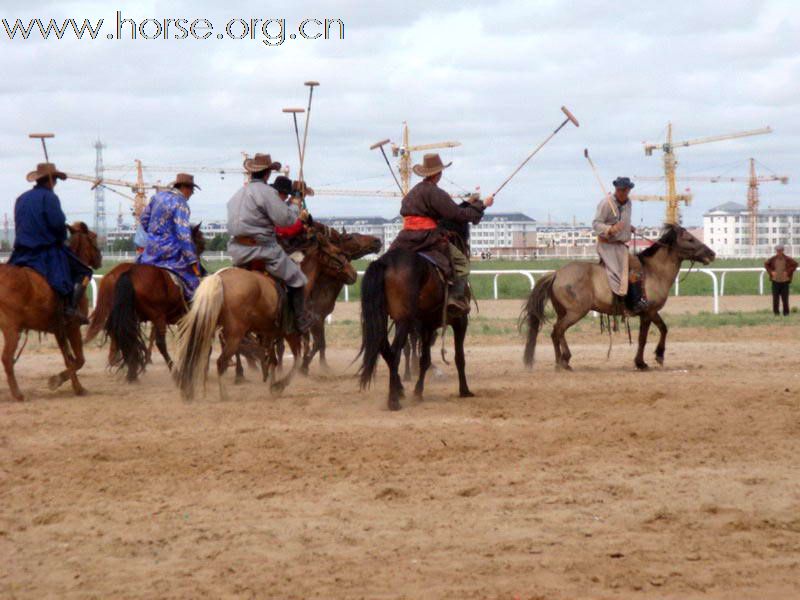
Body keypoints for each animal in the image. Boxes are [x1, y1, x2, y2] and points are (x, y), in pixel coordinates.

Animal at [0, 223, 103, 400]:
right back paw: (18, 395)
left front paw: (76, 387)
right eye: (93, 237)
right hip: (11, 329)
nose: (100, 259)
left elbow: (69, 359)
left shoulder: (58, 330)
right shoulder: (72, 327)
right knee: (7, 358)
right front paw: (57, 380)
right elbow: (79, 360)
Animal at [83, 223, 203, 382]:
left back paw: (128, 369)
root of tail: (127, 274)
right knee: (159, 343)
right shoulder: (180, 316)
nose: (202, 271)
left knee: (122, 334)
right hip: (156, 315)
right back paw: (173, 371)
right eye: (200, 246)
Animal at [173, 234, 354, 404]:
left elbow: (273, 360)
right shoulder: (291, 333)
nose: (353, 274)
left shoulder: (269, 334)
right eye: (337, 252)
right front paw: (278, 386)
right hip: (234, 334)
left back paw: (189, 390)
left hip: (207, 327)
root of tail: (219, 277)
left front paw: (272, 383)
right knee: (221, 362)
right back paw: (224, 394)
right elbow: (296, 359)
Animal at [360, 246, 472, 410]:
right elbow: (459, 357)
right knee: (394, 352)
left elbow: (425, 360)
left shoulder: (427, 326)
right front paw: (464, 390)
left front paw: (418, 392)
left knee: (385, 350)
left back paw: (399, 390)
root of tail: (384, 262)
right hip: (403, 320)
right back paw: (393, 400)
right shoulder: (460, 321)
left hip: (383, 318)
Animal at [520, 225, 716, 370]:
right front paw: (644, 361)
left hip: (564, 313)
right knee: (558, 331)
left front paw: (655, 357)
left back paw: (560, 362)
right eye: (690, 239)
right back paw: (564, 361)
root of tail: (557, 274)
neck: (653, 271)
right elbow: (646, 337)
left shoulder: (651, 313)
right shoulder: (649, 312)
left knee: (556, 334)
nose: (711, 253)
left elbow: (662, 329)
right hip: (575, 313)